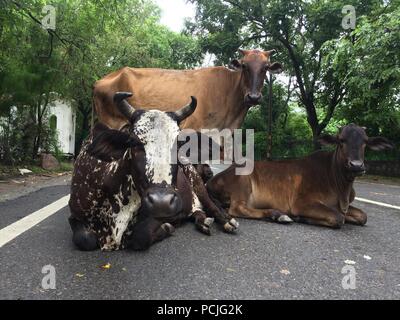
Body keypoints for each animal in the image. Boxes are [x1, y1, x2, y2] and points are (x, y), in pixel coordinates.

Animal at [68, 91, 238, 251]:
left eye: (179, 144)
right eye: (134, 142)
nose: (161, 202)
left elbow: (140, 236)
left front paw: (166, 228)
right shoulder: (74, 215)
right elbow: (85, 239)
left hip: (197, 183)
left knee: (212, 206)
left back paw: (227, 221)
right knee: (198, 211)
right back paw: (203, 222)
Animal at [206, 124, 394, 228]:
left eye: (365, 142)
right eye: (341, 140)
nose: (356, 165)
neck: (341, 187)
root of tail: (212, 181)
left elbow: (362, 216)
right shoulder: (301, 202)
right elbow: (338, 218)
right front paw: (301, 217)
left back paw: (277, 215)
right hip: (242, 183)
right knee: (238, 208)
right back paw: (281, 215)